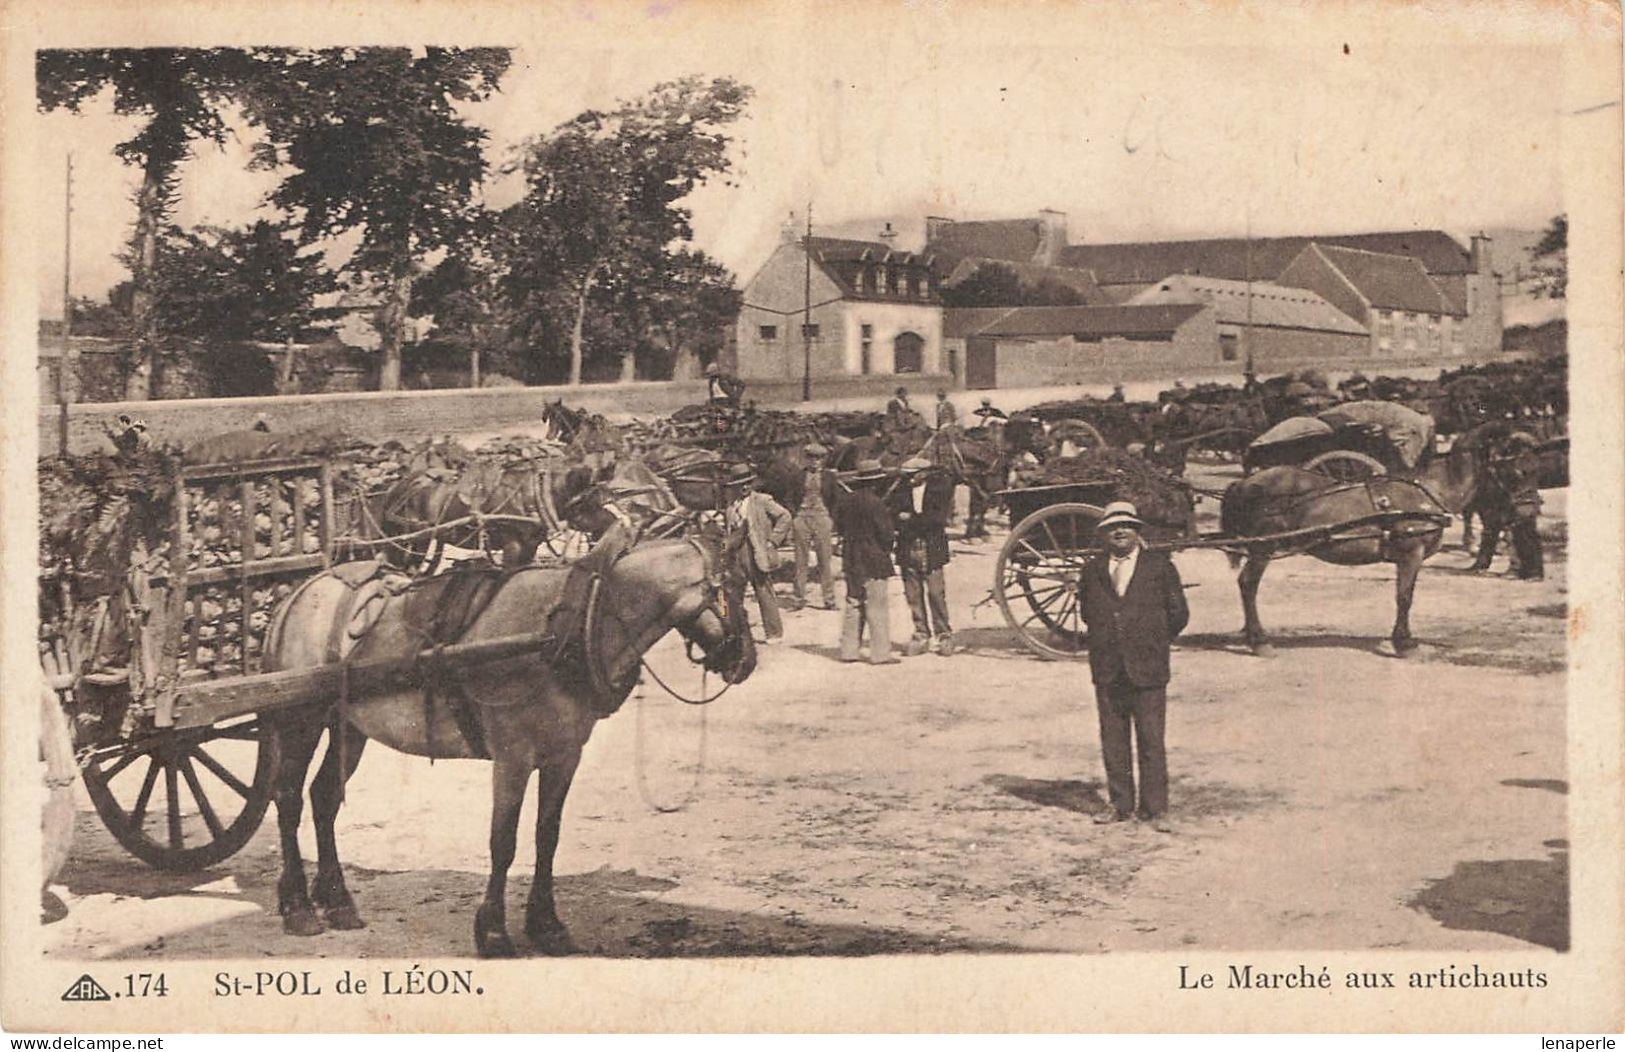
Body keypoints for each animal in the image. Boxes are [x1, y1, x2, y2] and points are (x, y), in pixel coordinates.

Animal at [260, 536, 754, 956]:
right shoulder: (513, 757)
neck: (571, 622)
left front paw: (547, 925)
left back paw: (338, 900)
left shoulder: (563, 755)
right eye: (734, 587)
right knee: (288, 798)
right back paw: (298, 906)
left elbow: (546, 837)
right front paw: (494, 932)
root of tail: (301, 592)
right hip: (302, 720)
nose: (746, 660)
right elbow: (504, 841)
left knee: (324, 797)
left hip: (348, 726)